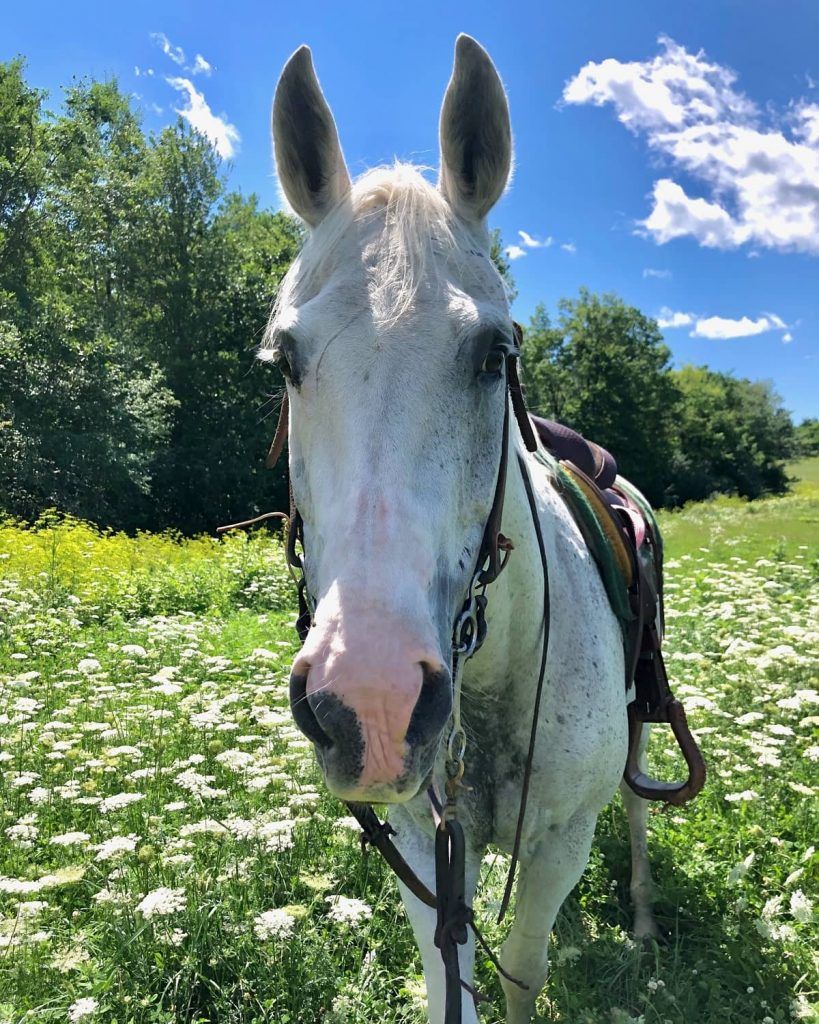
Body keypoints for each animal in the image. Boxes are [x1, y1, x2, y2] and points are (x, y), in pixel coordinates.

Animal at [263, 35, 664, 1024]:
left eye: (493, 353)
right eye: (284, 359)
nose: (367, 704)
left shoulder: (560, 836)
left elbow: (523, 968)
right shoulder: (423, 841)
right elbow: (456, 981)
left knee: (640, 806)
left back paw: (641, 919)